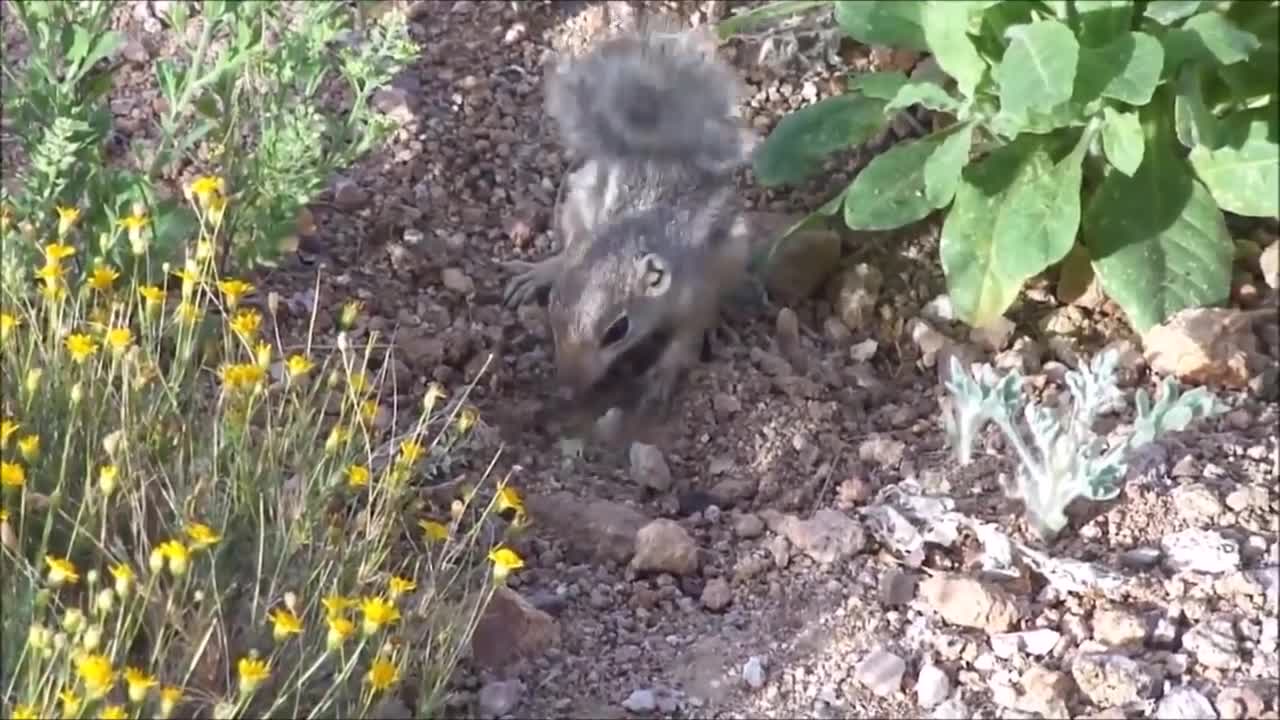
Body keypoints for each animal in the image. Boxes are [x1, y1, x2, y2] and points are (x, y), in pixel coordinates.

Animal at [501, 22, 757, 435]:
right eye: (553, 310)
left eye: (617, 331)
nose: (568, 387)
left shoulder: (699, 288)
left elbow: (690, 332)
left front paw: (663, 375)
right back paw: (538, 272)